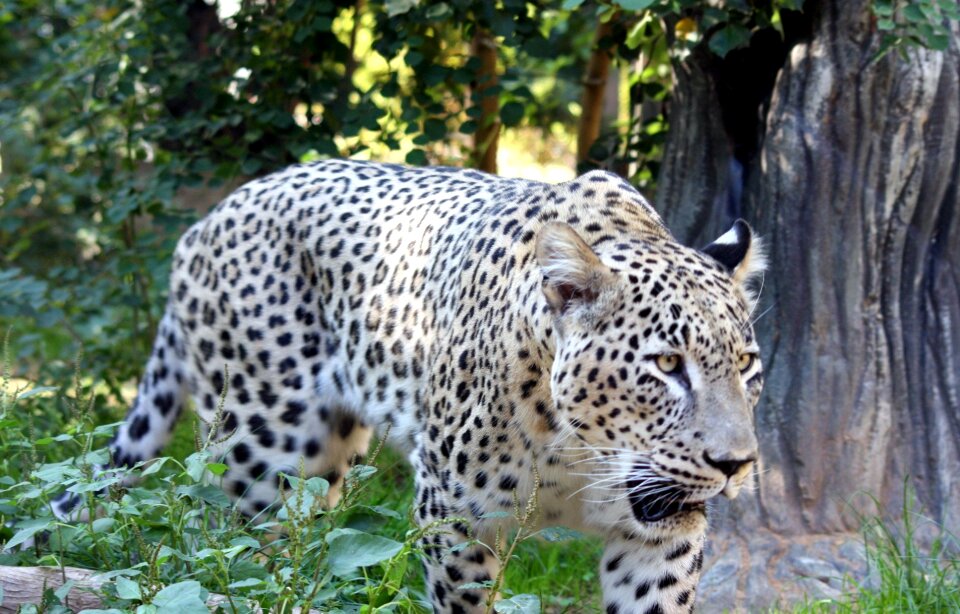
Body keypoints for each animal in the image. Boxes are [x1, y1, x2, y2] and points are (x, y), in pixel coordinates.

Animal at [58, 161, 764, 612]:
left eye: (747, 365)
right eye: (667, 365)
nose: (736, 465)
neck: (581, 455)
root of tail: (205, 222)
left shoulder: (663, 535)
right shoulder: (451, 518)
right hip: (263, 455)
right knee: (242, 556)